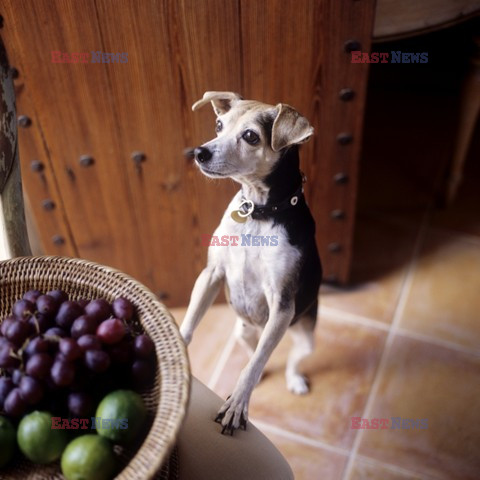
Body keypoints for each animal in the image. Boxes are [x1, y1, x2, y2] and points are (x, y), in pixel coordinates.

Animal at [180, 93, 322, 436]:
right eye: (219, 125)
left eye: (250, 136)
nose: (199, 152)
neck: (258, 212)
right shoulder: (211, 274)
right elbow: (189, 324)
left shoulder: (282, 303)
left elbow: (253, 367)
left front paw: (238, 403)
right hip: (242, 331)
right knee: (252, 349)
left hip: (303, 334)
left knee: (283, 359)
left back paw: (294, 380)